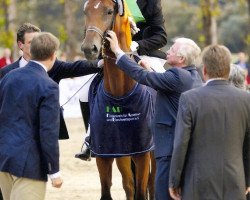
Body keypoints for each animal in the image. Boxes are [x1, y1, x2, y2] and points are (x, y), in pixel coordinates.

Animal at [80, 0, 154, 199]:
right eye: (85, 11)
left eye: (108, 11)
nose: (89, 48)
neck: (119, 92)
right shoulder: (105, 154)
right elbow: (107, 192)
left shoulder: (142, 154)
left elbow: (142, 192)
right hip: (123, 154)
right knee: (128, 185)